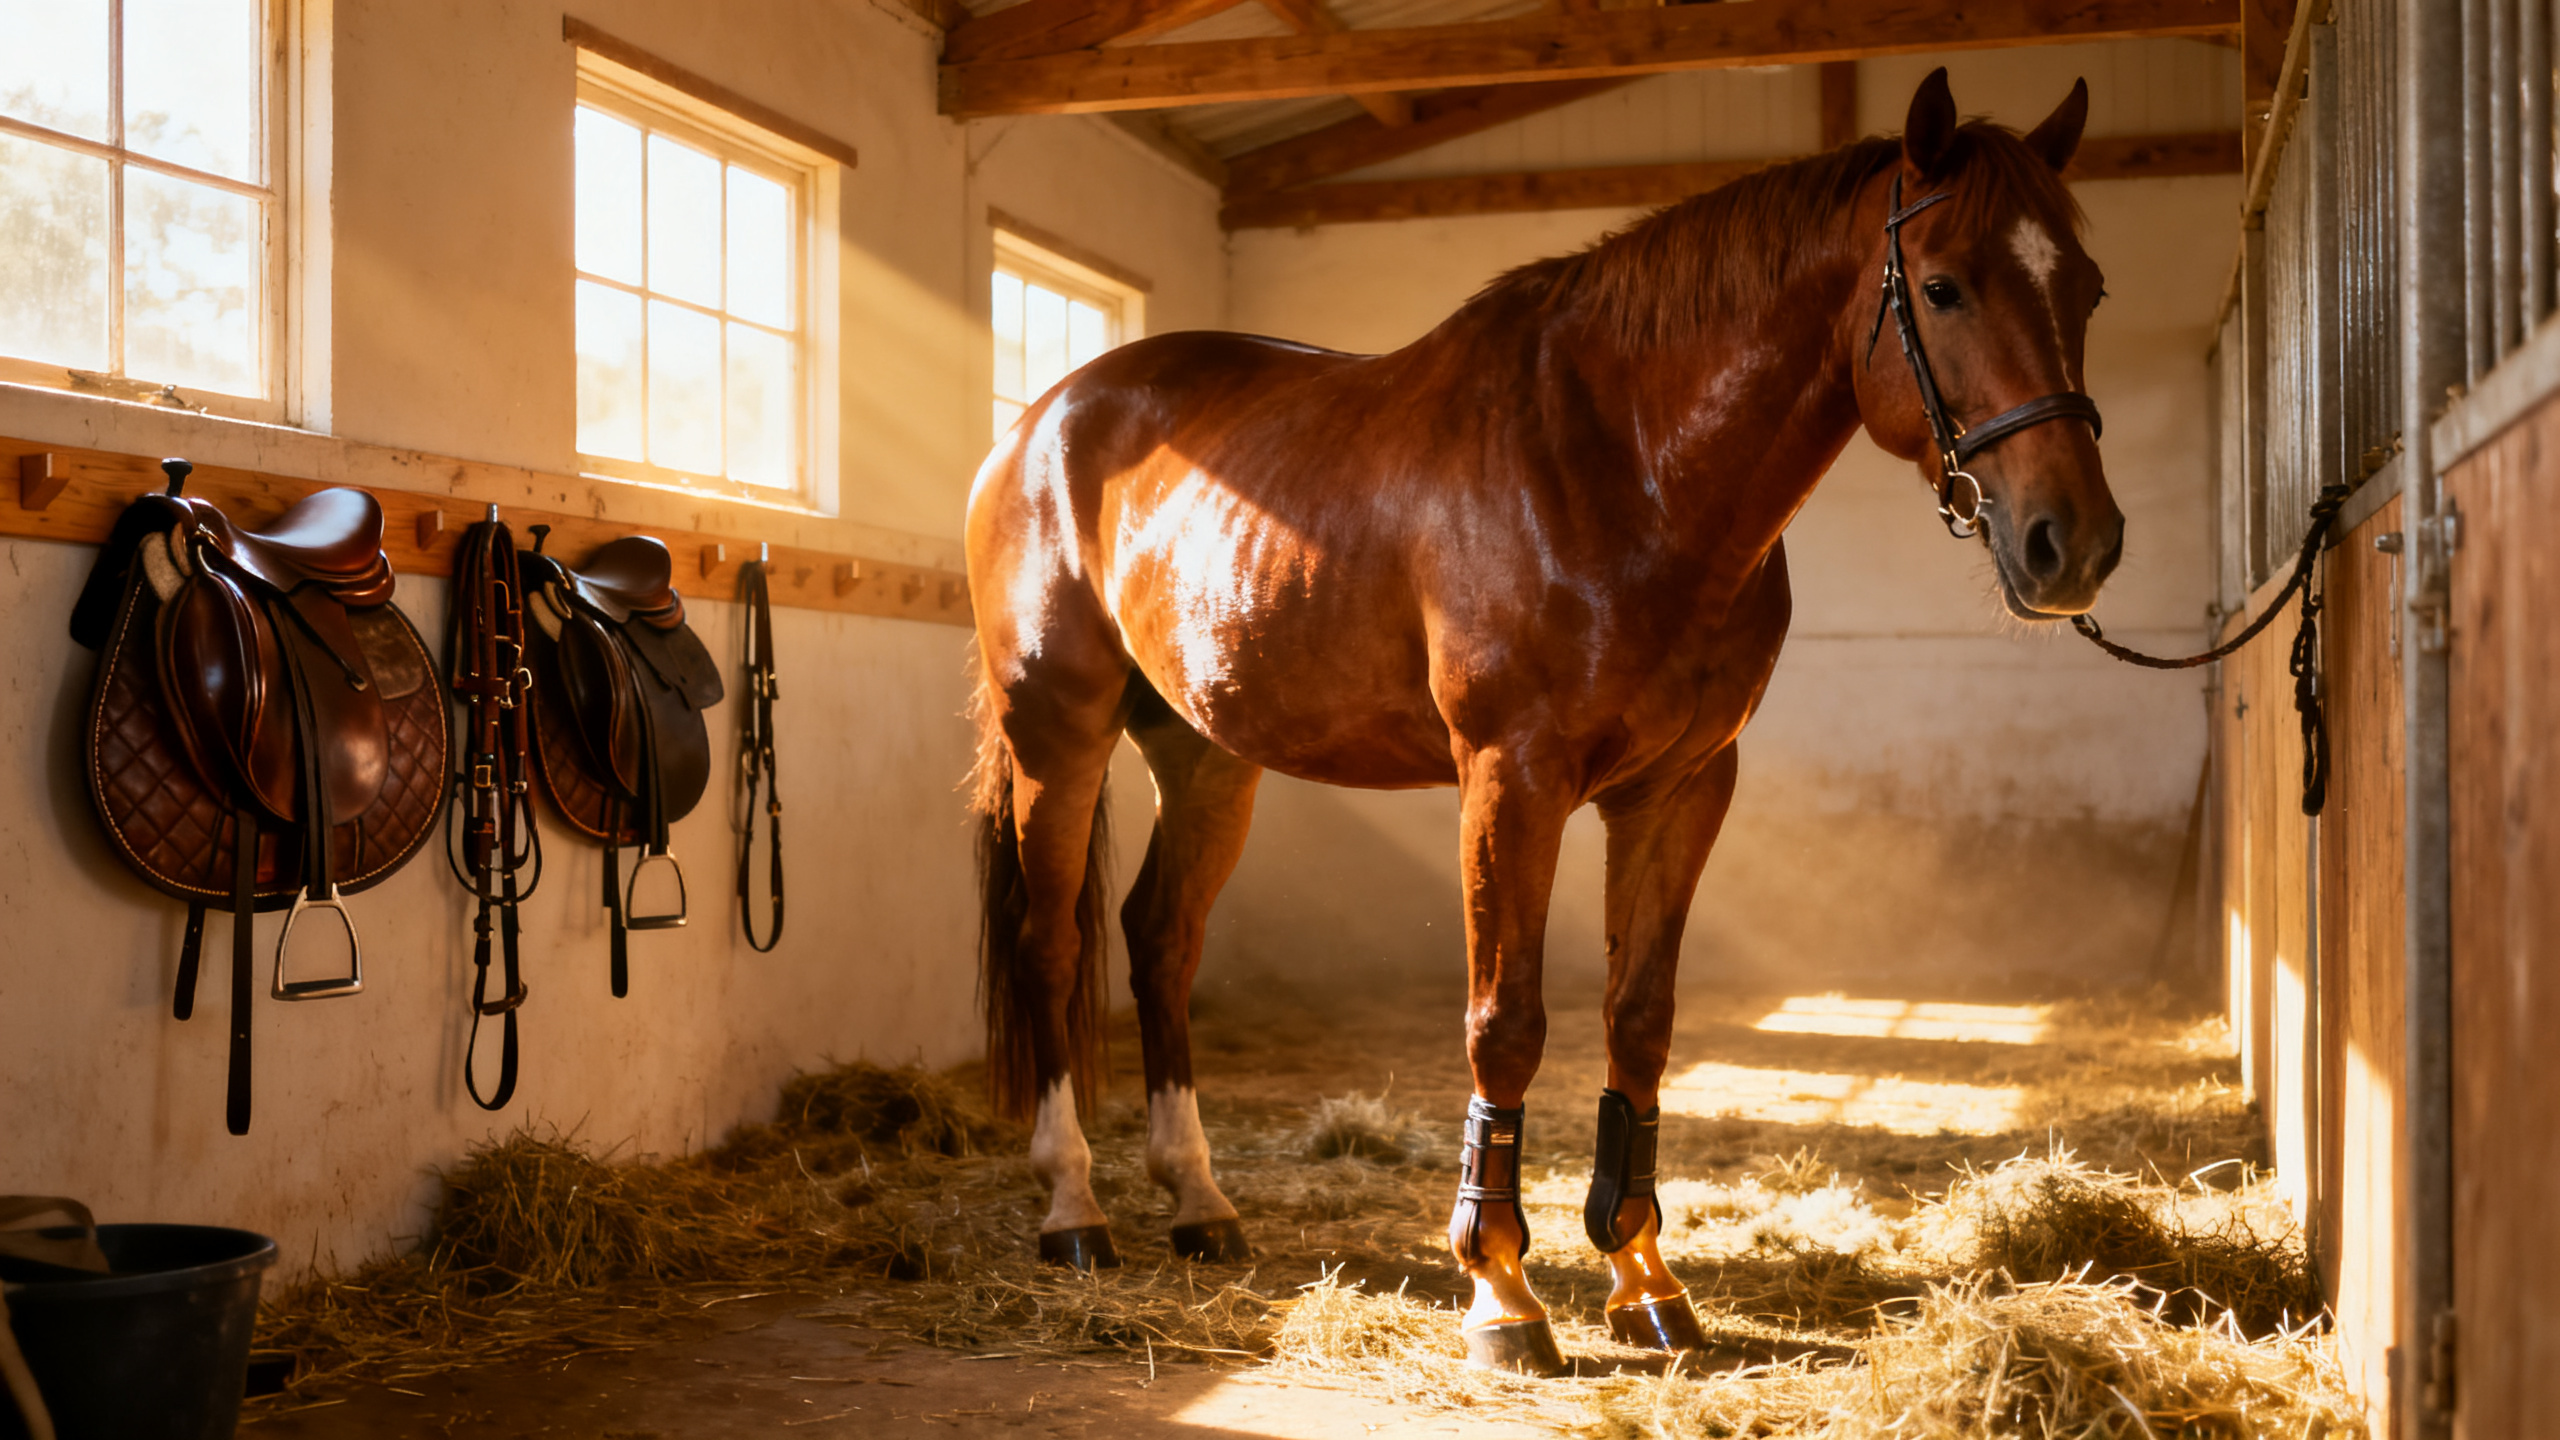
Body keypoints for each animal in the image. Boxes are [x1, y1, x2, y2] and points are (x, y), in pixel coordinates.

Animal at [961, 69, 2122, 1374]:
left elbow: (1639, 1022)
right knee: (1052, 945)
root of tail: (1038, 426)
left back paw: (1200, 1204)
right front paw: (1502, 1291)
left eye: (2085, 285)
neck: (1620, 466)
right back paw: (1073, 1209)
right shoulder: (1510, 779)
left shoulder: (1681, 789)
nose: (2073, 544)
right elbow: (1505, 1023)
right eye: (1941, 284)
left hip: (1206, 756)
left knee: (1160, 939)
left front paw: (1644, 1279)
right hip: (1057, 734)